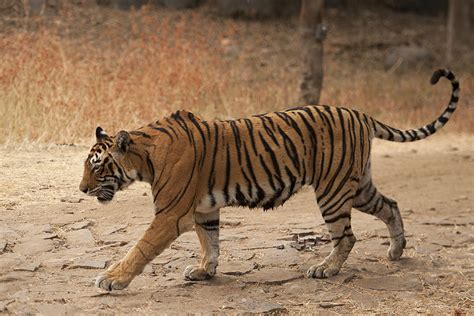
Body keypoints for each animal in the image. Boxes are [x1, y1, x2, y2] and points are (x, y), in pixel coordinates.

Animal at [80, 69, 460, 292]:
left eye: (97, 167)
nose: (82, 189)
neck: (144, 157)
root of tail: (360, 113)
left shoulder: (170, 214)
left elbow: (140, 248)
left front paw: (111, 279)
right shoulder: (204, 210)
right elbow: (210, 242)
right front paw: (205, 271)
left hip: (333, 190)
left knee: (347, 236)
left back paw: (326, 269)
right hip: (357, 185)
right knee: (391, 205)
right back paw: (396, 251)